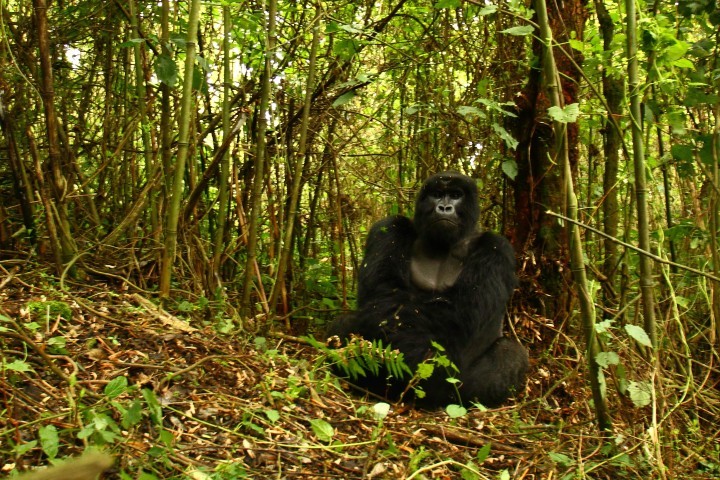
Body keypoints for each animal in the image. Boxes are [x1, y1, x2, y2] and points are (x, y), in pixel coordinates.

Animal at [328, 171, 528, 406]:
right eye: (437, 194)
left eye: (456, 195)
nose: (444, 207)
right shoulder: (390, 226)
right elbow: (384, 294)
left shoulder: (498, 247)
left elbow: (461, 313)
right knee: (342, 324)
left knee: (511, 353)